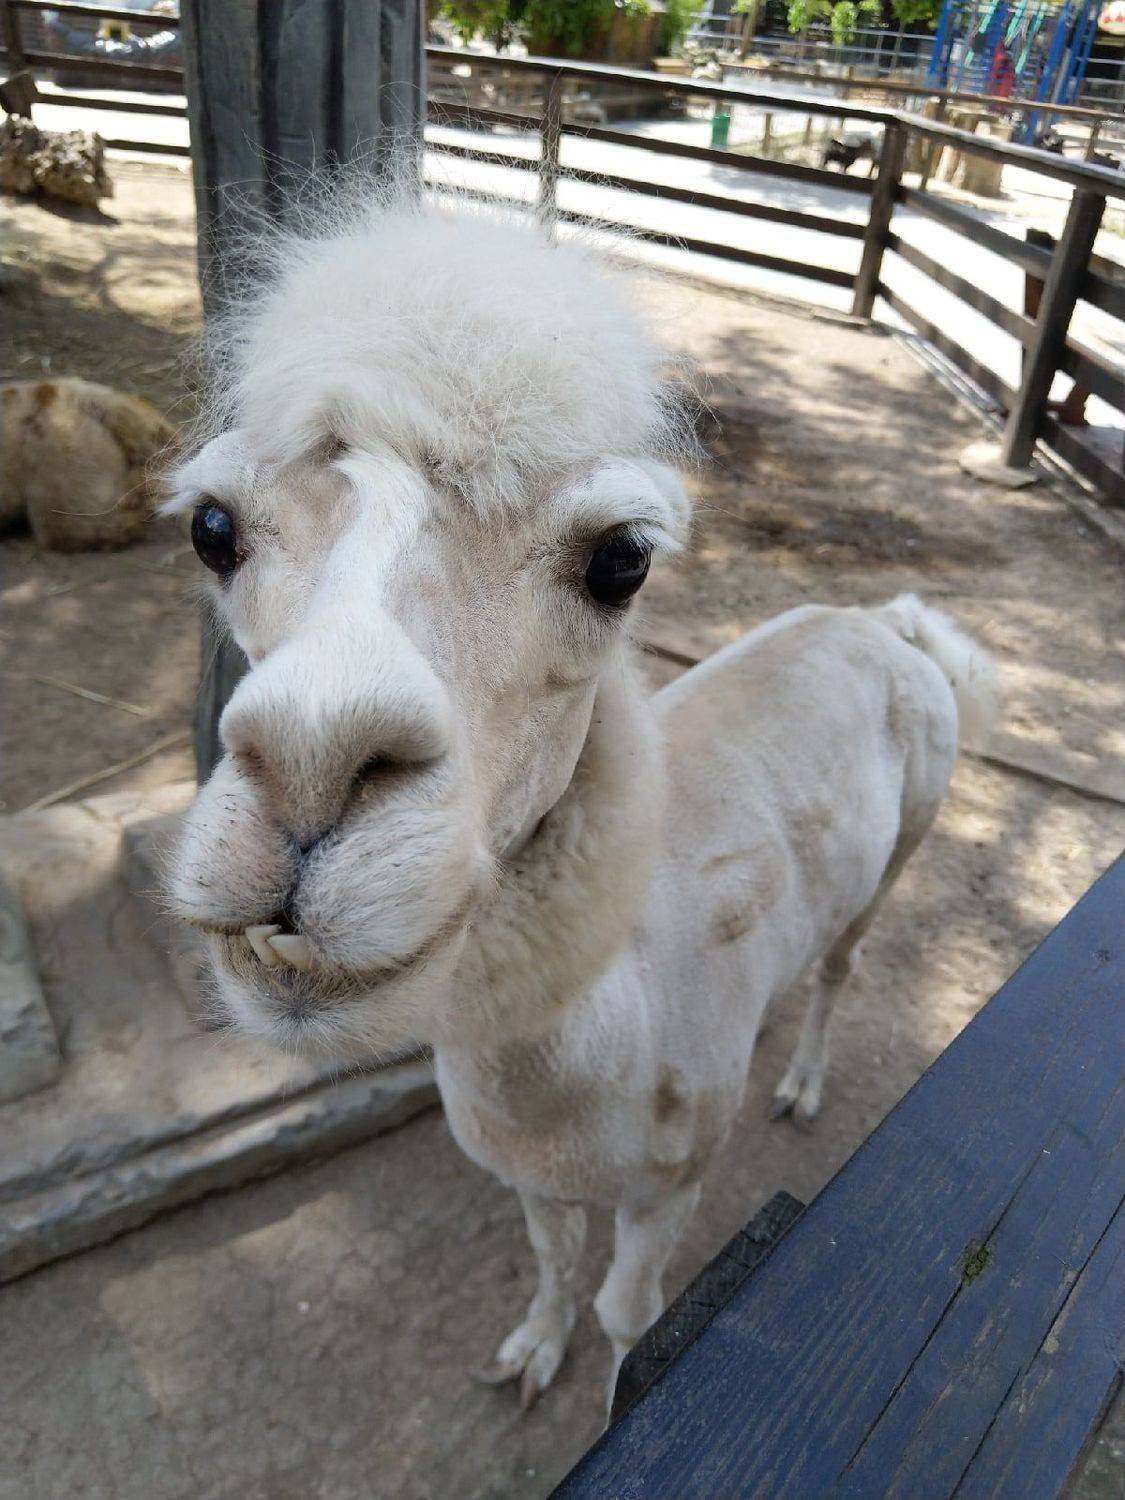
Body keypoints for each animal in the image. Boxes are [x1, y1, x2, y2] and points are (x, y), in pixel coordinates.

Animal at [163, 194, 997, 1411]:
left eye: (621, 561)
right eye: (213, 529)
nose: (314, 762)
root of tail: (889, 624)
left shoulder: (668, 1189)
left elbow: (628, 1317)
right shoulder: (528, 1172)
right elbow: (553, 1262)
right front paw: (529, 1355)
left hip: (910, 840)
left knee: (844, 966)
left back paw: (798, 1085)